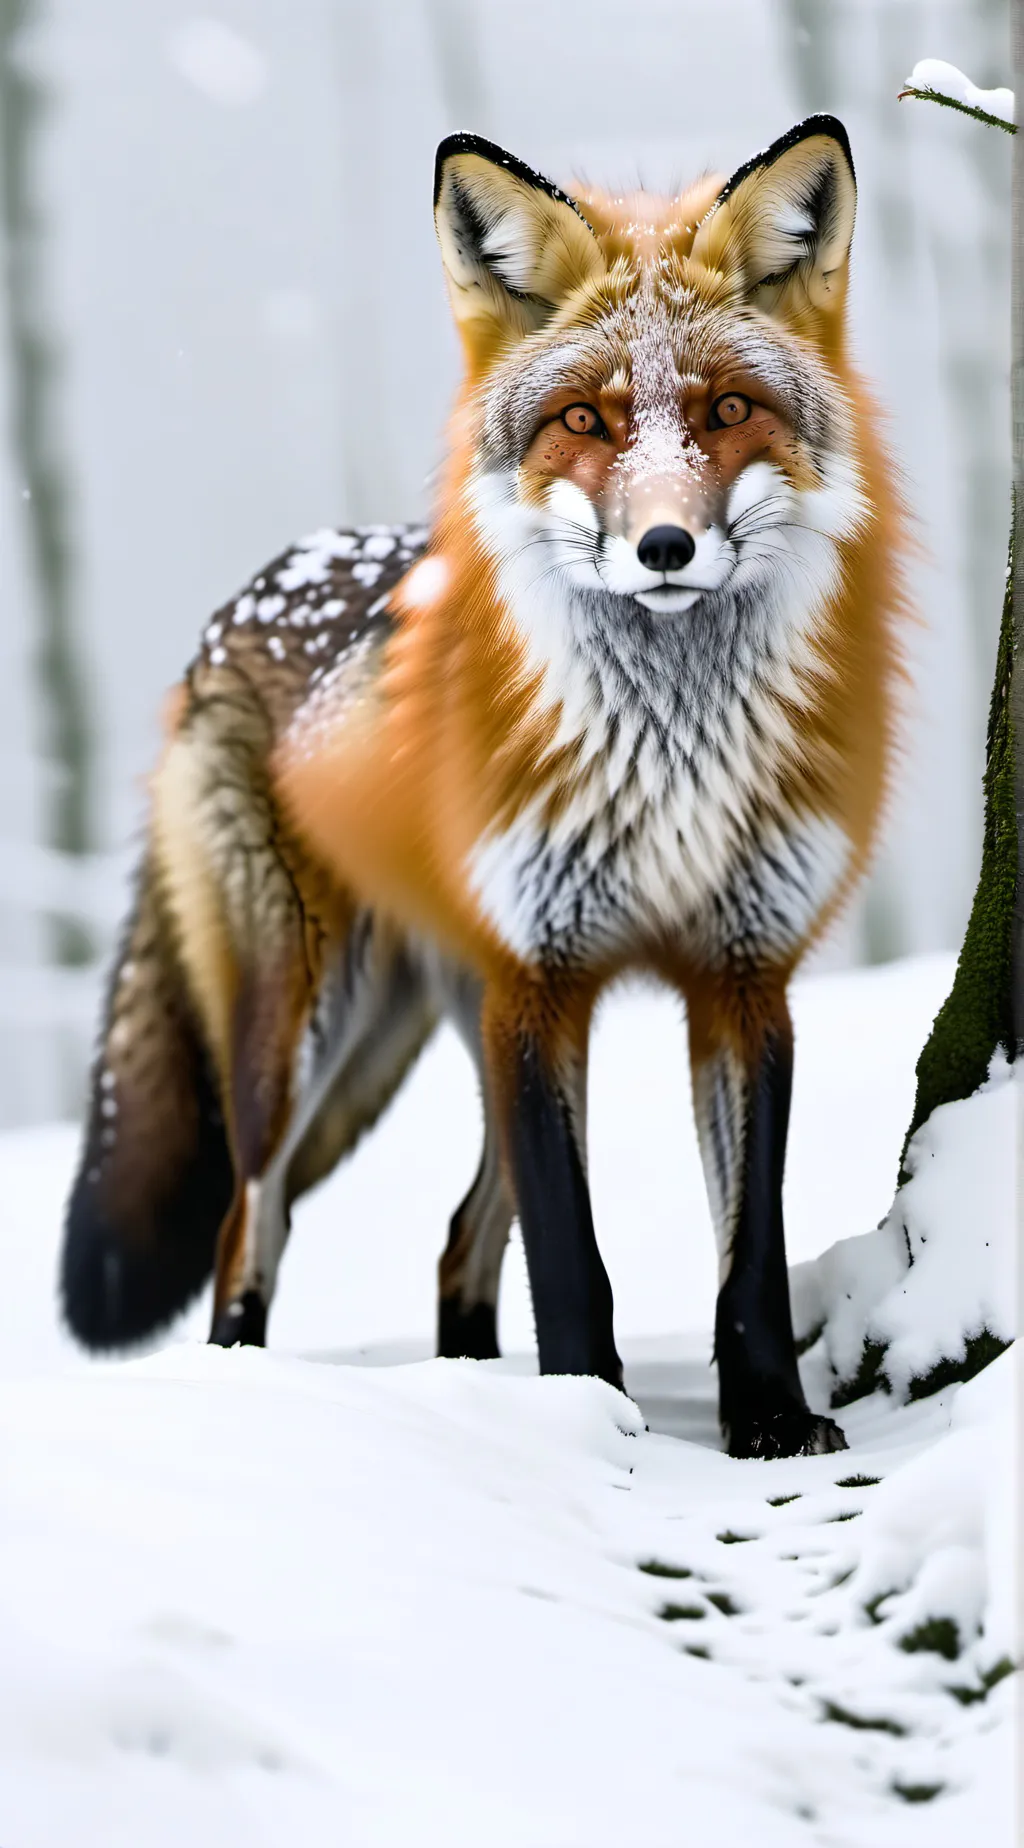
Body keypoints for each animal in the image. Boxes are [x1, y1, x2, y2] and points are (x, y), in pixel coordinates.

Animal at [62, 115, 905, 1458]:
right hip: (310, 1029)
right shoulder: (538, 979)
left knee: (459, 1237)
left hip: (435, 1029)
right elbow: (571, 1257)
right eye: (584, 420)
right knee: (253, 1222)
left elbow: (749, 1256)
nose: (663, 547)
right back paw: (254, 1395)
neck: (668, 759)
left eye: (727, 409)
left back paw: (468, 1384)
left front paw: (771, 1415)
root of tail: (254, 586)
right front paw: (586, 1423)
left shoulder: (741, 978)